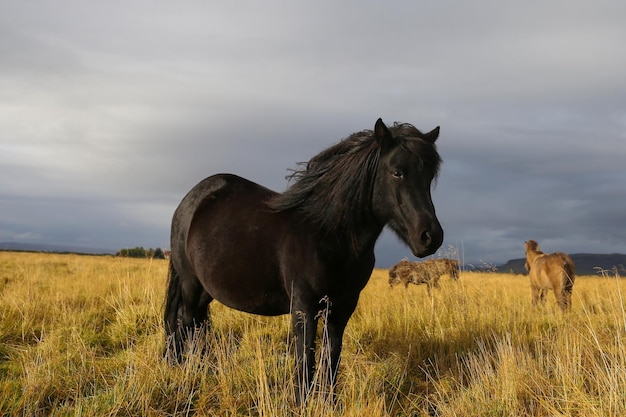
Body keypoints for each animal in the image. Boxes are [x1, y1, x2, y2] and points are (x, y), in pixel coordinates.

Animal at [163, 118, 442, 404]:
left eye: (429, 176)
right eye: (397, 172)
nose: (430, 237)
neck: (327, 233)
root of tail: (191, 200)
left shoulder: (342, 308)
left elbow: (331, 356)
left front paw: (328, 403)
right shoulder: (304, 308)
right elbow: (305, 357)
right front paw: (301, 402)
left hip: (206, 290)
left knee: (197, 325)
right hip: (190, 284)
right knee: (185, 322)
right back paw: (188, 371)